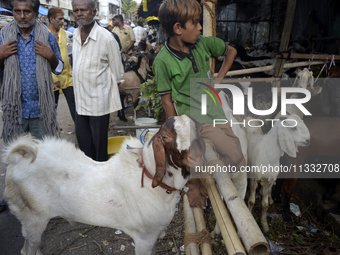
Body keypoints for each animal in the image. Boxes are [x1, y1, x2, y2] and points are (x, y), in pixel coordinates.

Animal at [3, 115, 203, 255]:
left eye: (194, 128)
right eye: (166, 137)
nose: (196, 157)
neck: (149, 177)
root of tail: (18, 160)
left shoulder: (154, 236)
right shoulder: (144, 238)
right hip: (33, 218)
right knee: (27, 249)